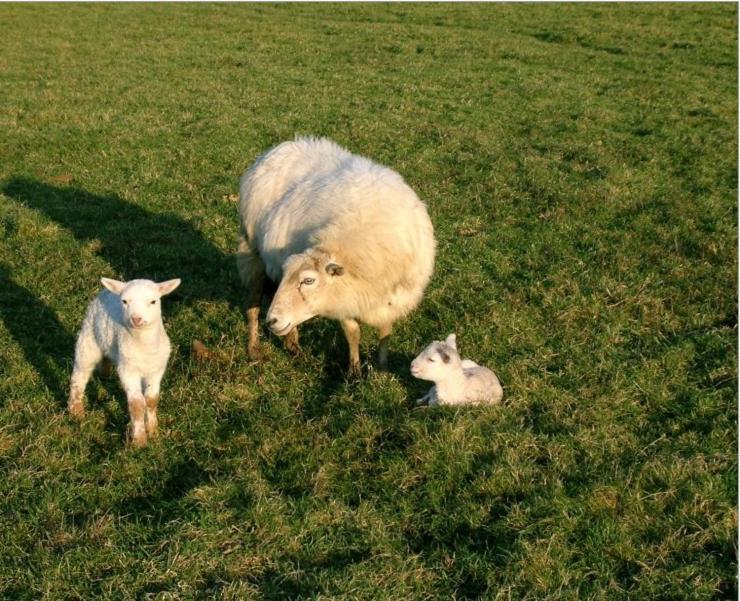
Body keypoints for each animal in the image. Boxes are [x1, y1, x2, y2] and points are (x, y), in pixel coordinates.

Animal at [68, 276, 181, 446]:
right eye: (125, 301)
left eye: (153, 301)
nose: (136, 319)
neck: (144, 346)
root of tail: (106, 291)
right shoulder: (128, 370)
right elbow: (137, 404)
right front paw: (140, 440)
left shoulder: (156, 370)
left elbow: (151, 400)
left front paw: (153, 431)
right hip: (88, 340)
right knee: (79, 376)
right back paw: (76, 411)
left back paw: (105, 374)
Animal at [236, 137, 434, 370]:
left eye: (309, 280)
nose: (272, 321)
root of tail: (278, 149)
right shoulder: (342, 297)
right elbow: (353, 333)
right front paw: (354, 370)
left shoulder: (393, 298)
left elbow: (385, 332)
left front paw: (383, 368)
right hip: (252, 254)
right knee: (253, 304)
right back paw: (254, 348)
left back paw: (292, 344)